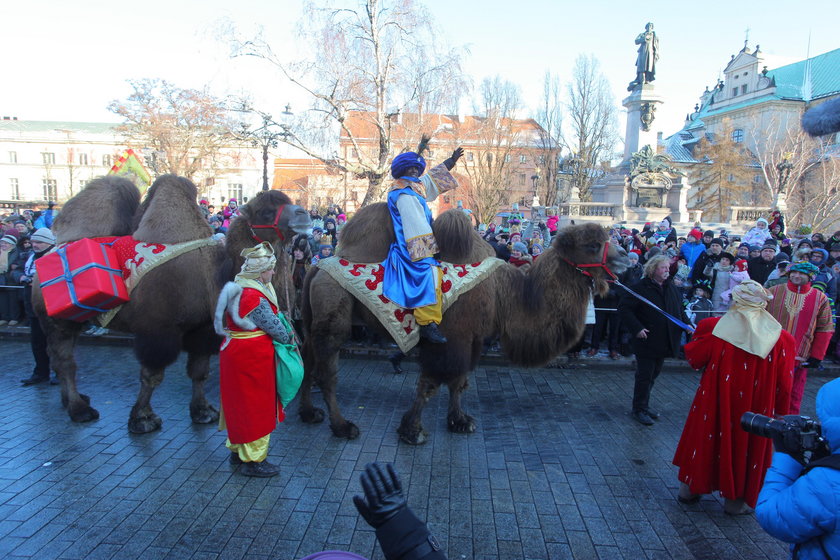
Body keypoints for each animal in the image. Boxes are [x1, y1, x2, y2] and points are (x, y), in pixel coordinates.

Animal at [35, 175, 312, 434]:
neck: (214, 275)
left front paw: (203, 412)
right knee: (65, 360)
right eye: (266, 211)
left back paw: (72, 400)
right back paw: (80, 410)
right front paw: (143, 418)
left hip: (75, 319)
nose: (304, 214)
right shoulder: (159, 329)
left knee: (59, 357)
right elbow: (152, 375)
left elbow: (199, 371)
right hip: (58, 319)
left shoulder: (203, 329)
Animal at [302, 203, 632, 444]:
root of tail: (317, 266)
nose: (625, 258)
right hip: (334, 316)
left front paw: (459, 421)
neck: (506, 294)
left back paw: (310, 413)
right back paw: (343, 427)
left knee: (307, 359)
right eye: (592, 245)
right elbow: (431, 383)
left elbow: (459, 382)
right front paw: (412, 430)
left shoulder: (472, 338)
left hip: (313, 318)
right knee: (327, 372)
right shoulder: (453, 337)